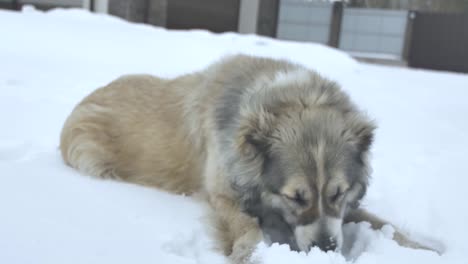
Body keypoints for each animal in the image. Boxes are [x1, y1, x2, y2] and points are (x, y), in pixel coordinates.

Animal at [59, 53, 436, 262]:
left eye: (338, 193)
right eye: (295, 197)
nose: (327, 249)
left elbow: (380, 222)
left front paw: (423, 249)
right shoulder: (222, 193)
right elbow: (246, 226)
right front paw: (250, 254)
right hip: (90, 154)